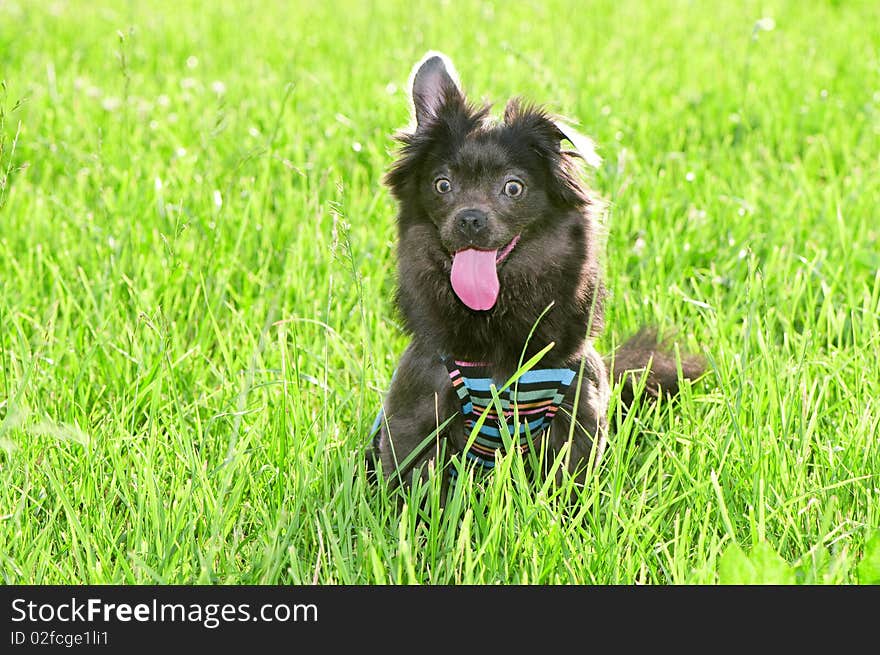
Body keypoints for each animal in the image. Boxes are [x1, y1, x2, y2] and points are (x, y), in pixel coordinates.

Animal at [370, 52, 700, 492]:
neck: (494, 315)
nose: (470, 219)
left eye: (513, 188)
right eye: (442, 185)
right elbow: (416, 491)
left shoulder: (579, 412)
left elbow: (568, 486)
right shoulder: (416, 413)